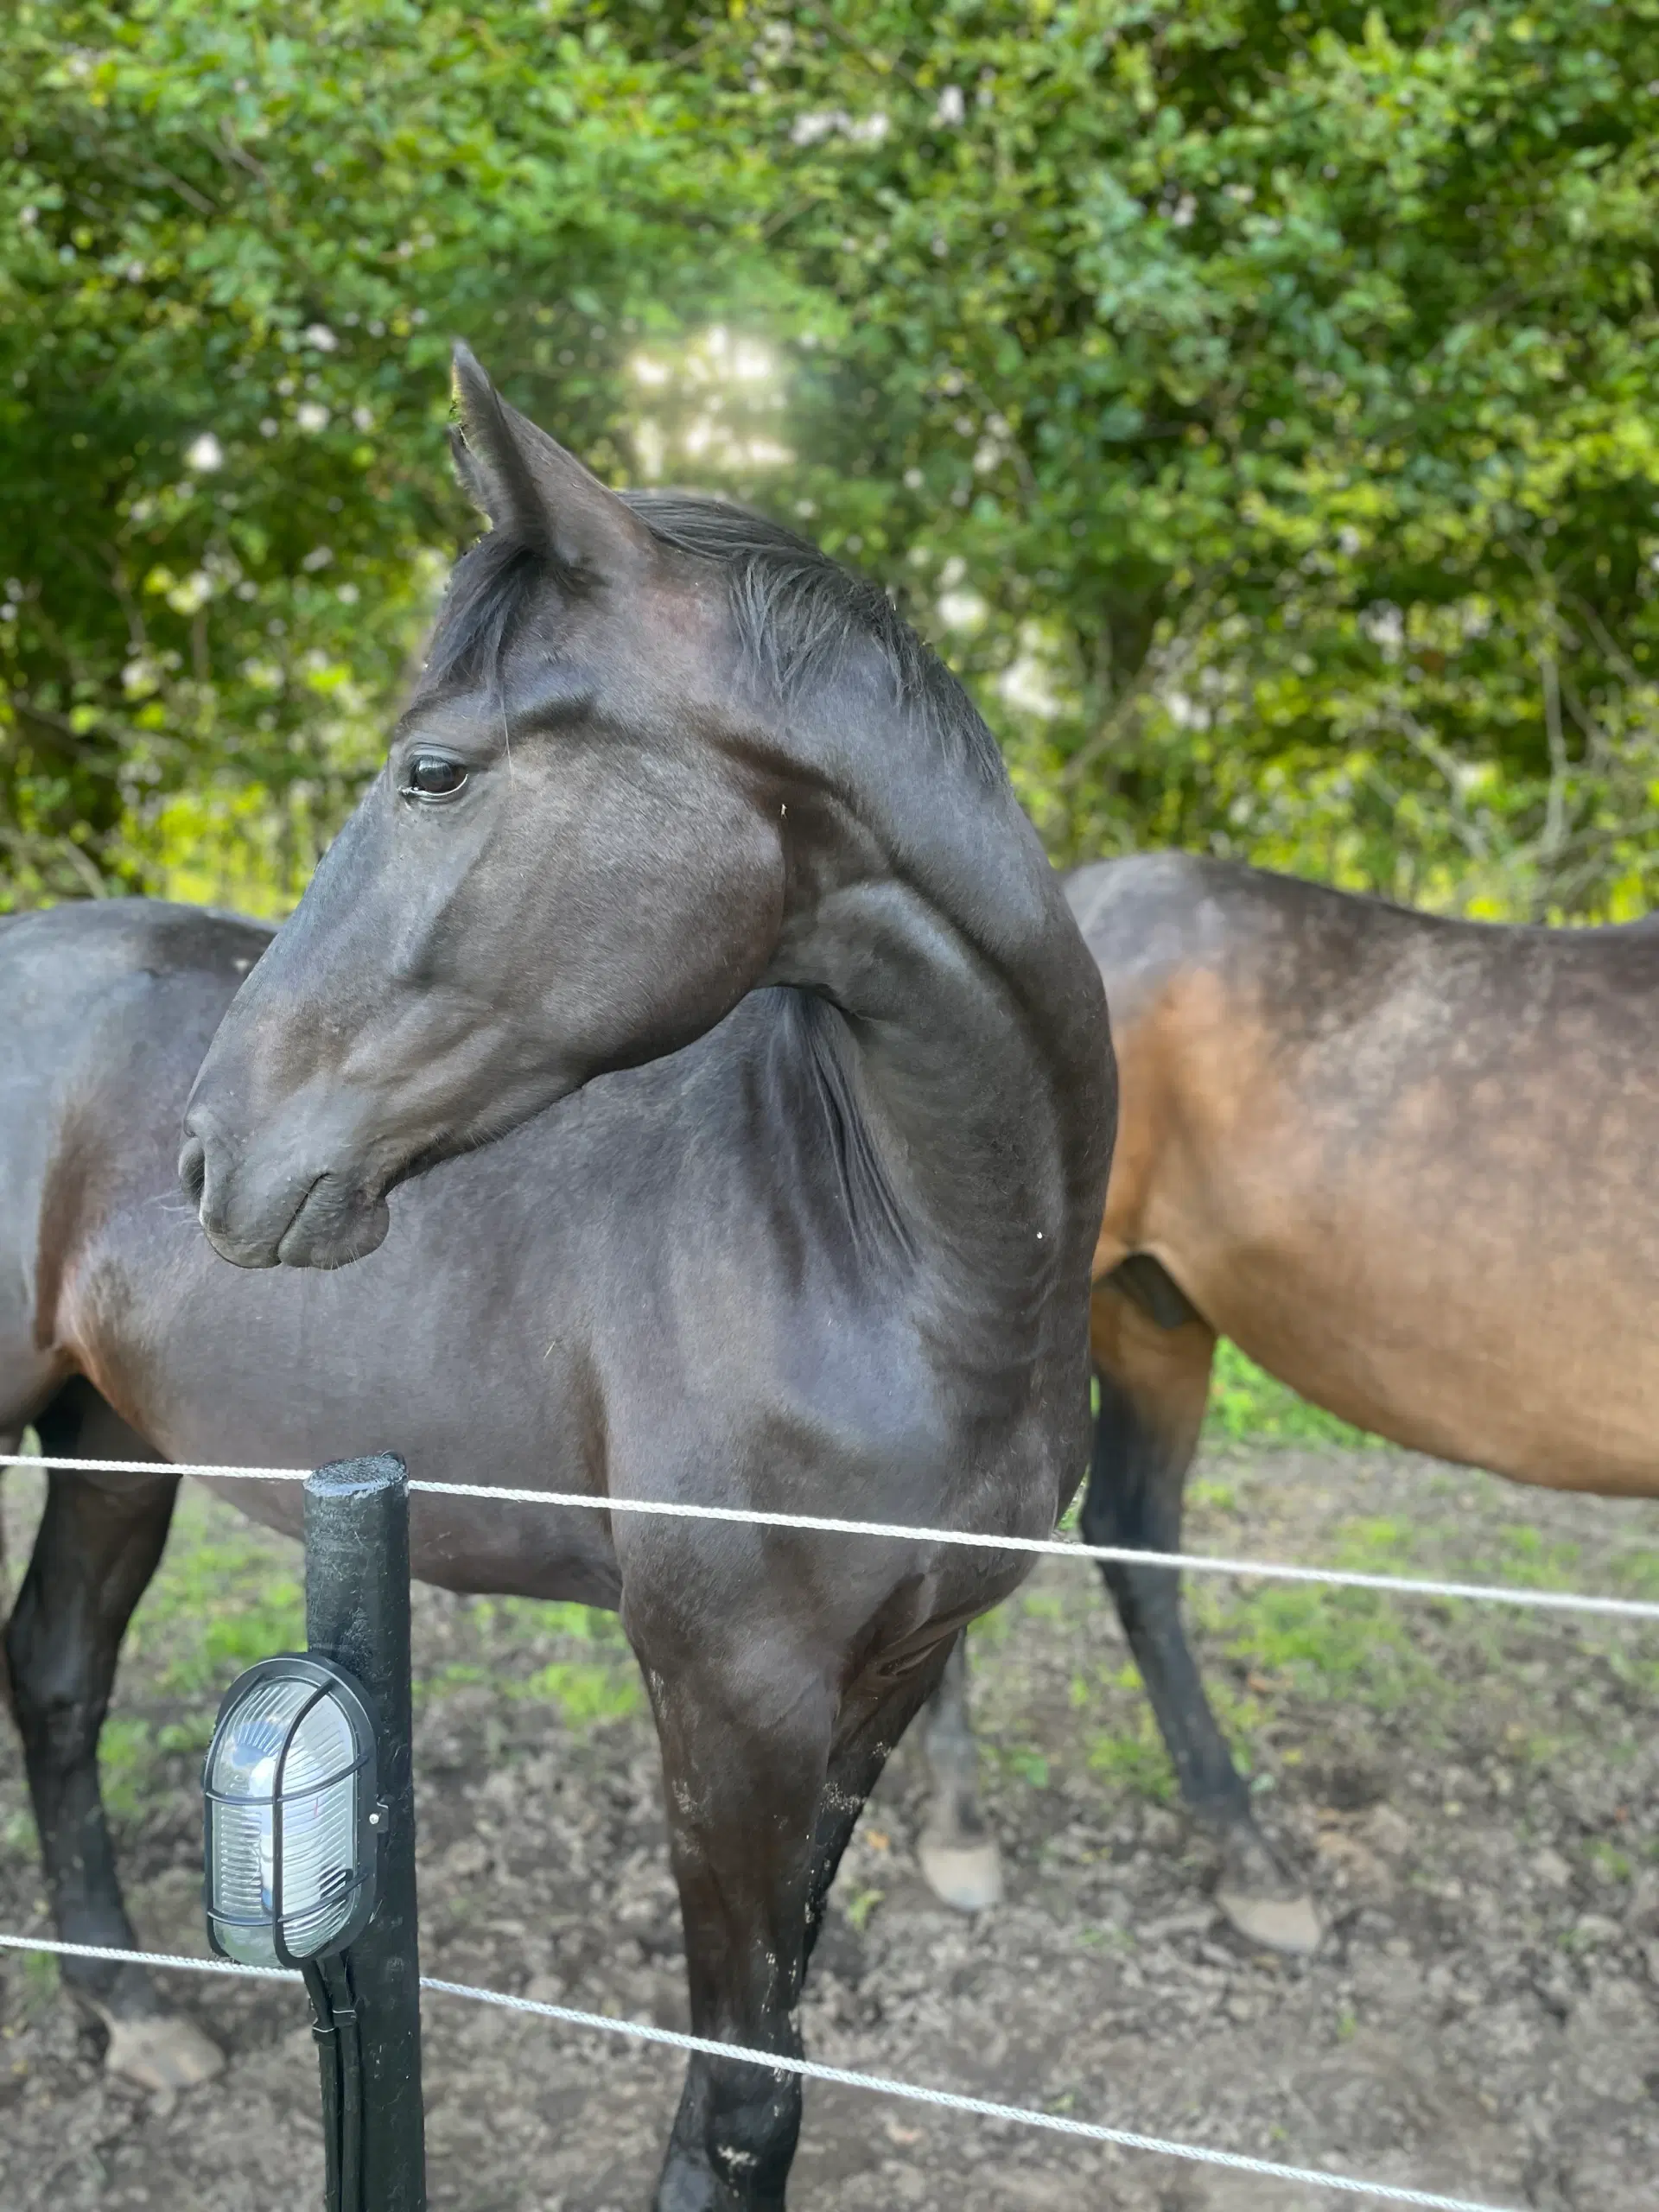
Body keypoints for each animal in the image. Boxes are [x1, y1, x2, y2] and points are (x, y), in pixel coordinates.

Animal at [3, 345, 1119, 2194]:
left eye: (437, 772)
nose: (214, 1152)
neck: (918, 1263)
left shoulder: (880, 1686)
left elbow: (764, 2057)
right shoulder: (729, 1700)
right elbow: (743, 2093)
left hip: (112, 1442)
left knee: (56, 1674)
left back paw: (132, 2012)